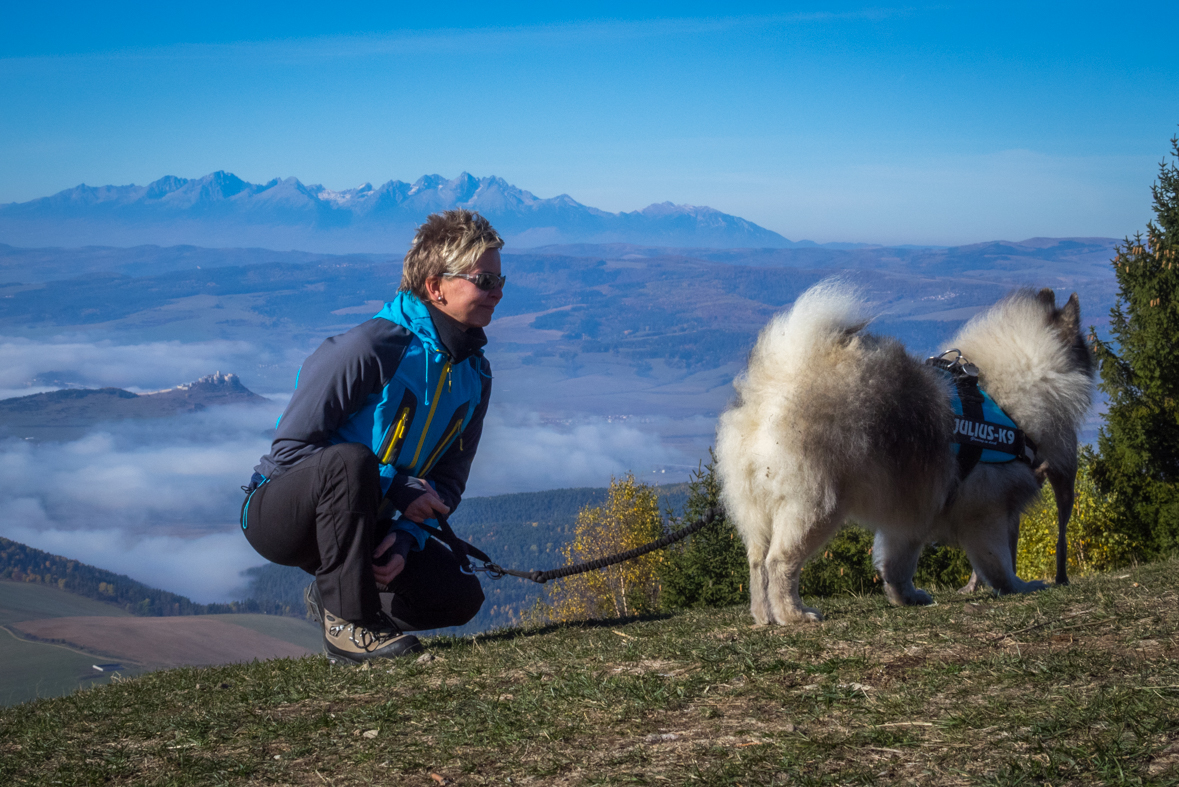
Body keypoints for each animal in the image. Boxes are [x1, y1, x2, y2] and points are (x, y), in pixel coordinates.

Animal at [716, 279, 1094, 622]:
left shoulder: (911, 513)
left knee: (757, 562)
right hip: (814, 508)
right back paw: (793, 614)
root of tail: (777, 382)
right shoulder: (987, 513)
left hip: (756, 512)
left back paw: (763, 615)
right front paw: (1019, 587)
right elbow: (999, 563)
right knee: (779, 562)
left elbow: (898, 565)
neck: (1012, 390)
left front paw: (906, 597)